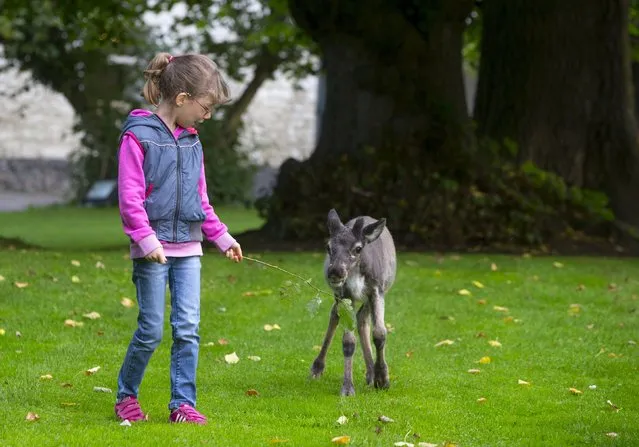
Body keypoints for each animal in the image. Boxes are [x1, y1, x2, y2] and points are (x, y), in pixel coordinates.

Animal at [310, 208, 396, 398]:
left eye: (358, 248)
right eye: (328, 247)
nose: (335, 271)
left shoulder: (377, 290)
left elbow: (380, 333)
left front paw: (382, 379)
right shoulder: (345, 294)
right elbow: (348, 341)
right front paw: (348, 387)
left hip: (370, 296)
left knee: (362, 318)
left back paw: (371, 373)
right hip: (340, 296)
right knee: (335, 315)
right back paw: (317, 368)